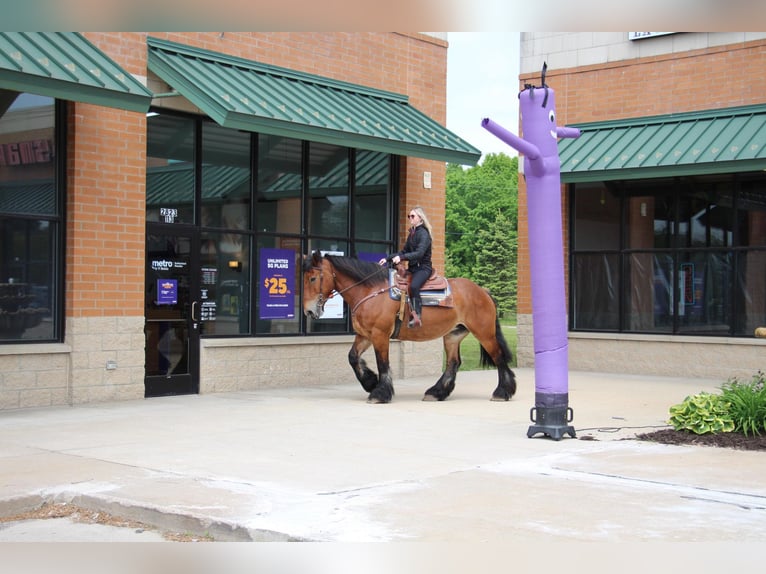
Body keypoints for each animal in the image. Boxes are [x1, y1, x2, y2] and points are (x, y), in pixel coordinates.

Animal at [302, 254, 516, 408]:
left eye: (312, 278)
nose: (309, 311)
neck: (370, 292)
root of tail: (483, 291)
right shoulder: (364, 335)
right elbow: (353, 357)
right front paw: (370, 382)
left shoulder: (380, 335)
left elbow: (383, 364)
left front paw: (379, 393)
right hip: (453, 335)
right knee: (453, 363)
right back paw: (436, 393)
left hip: (484, 333)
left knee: (498, 357)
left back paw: (502, 392)